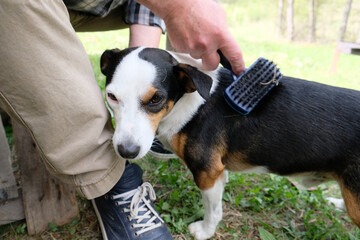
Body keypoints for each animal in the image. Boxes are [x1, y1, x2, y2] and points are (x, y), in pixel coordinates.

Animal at [100, 47, 360, 240]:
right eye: (111, 96)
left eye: (156, 99)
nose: (126, 151)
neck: (191, 99)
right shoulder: (218, 171)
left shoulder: (207, 172)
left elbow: (213, 211)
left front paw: (205, 231)